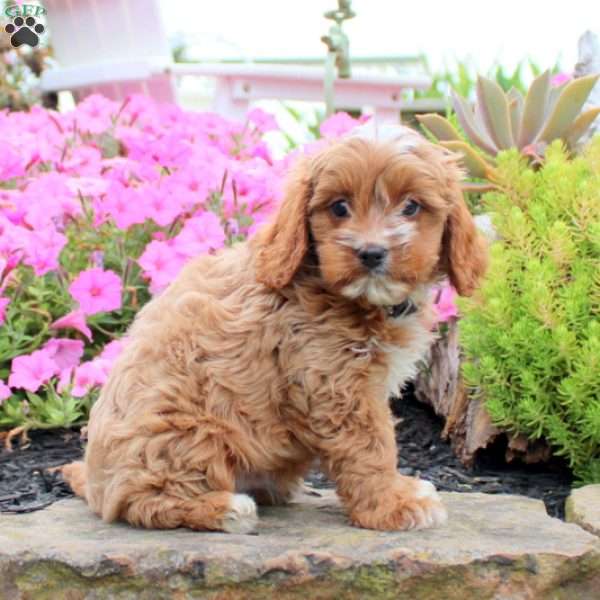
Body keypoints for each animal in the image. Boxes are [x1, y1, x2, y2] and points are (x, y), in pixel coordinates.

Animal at [61, 124, 486, 532]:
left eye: (411, 206)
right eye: (339, 207)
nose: (371, 253)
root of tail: (96, 485)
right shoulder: (334, 385)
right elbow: (371, 448)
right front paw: (392, 507)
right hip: (182, 431)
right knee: (144, 502)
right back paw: (226, 510)